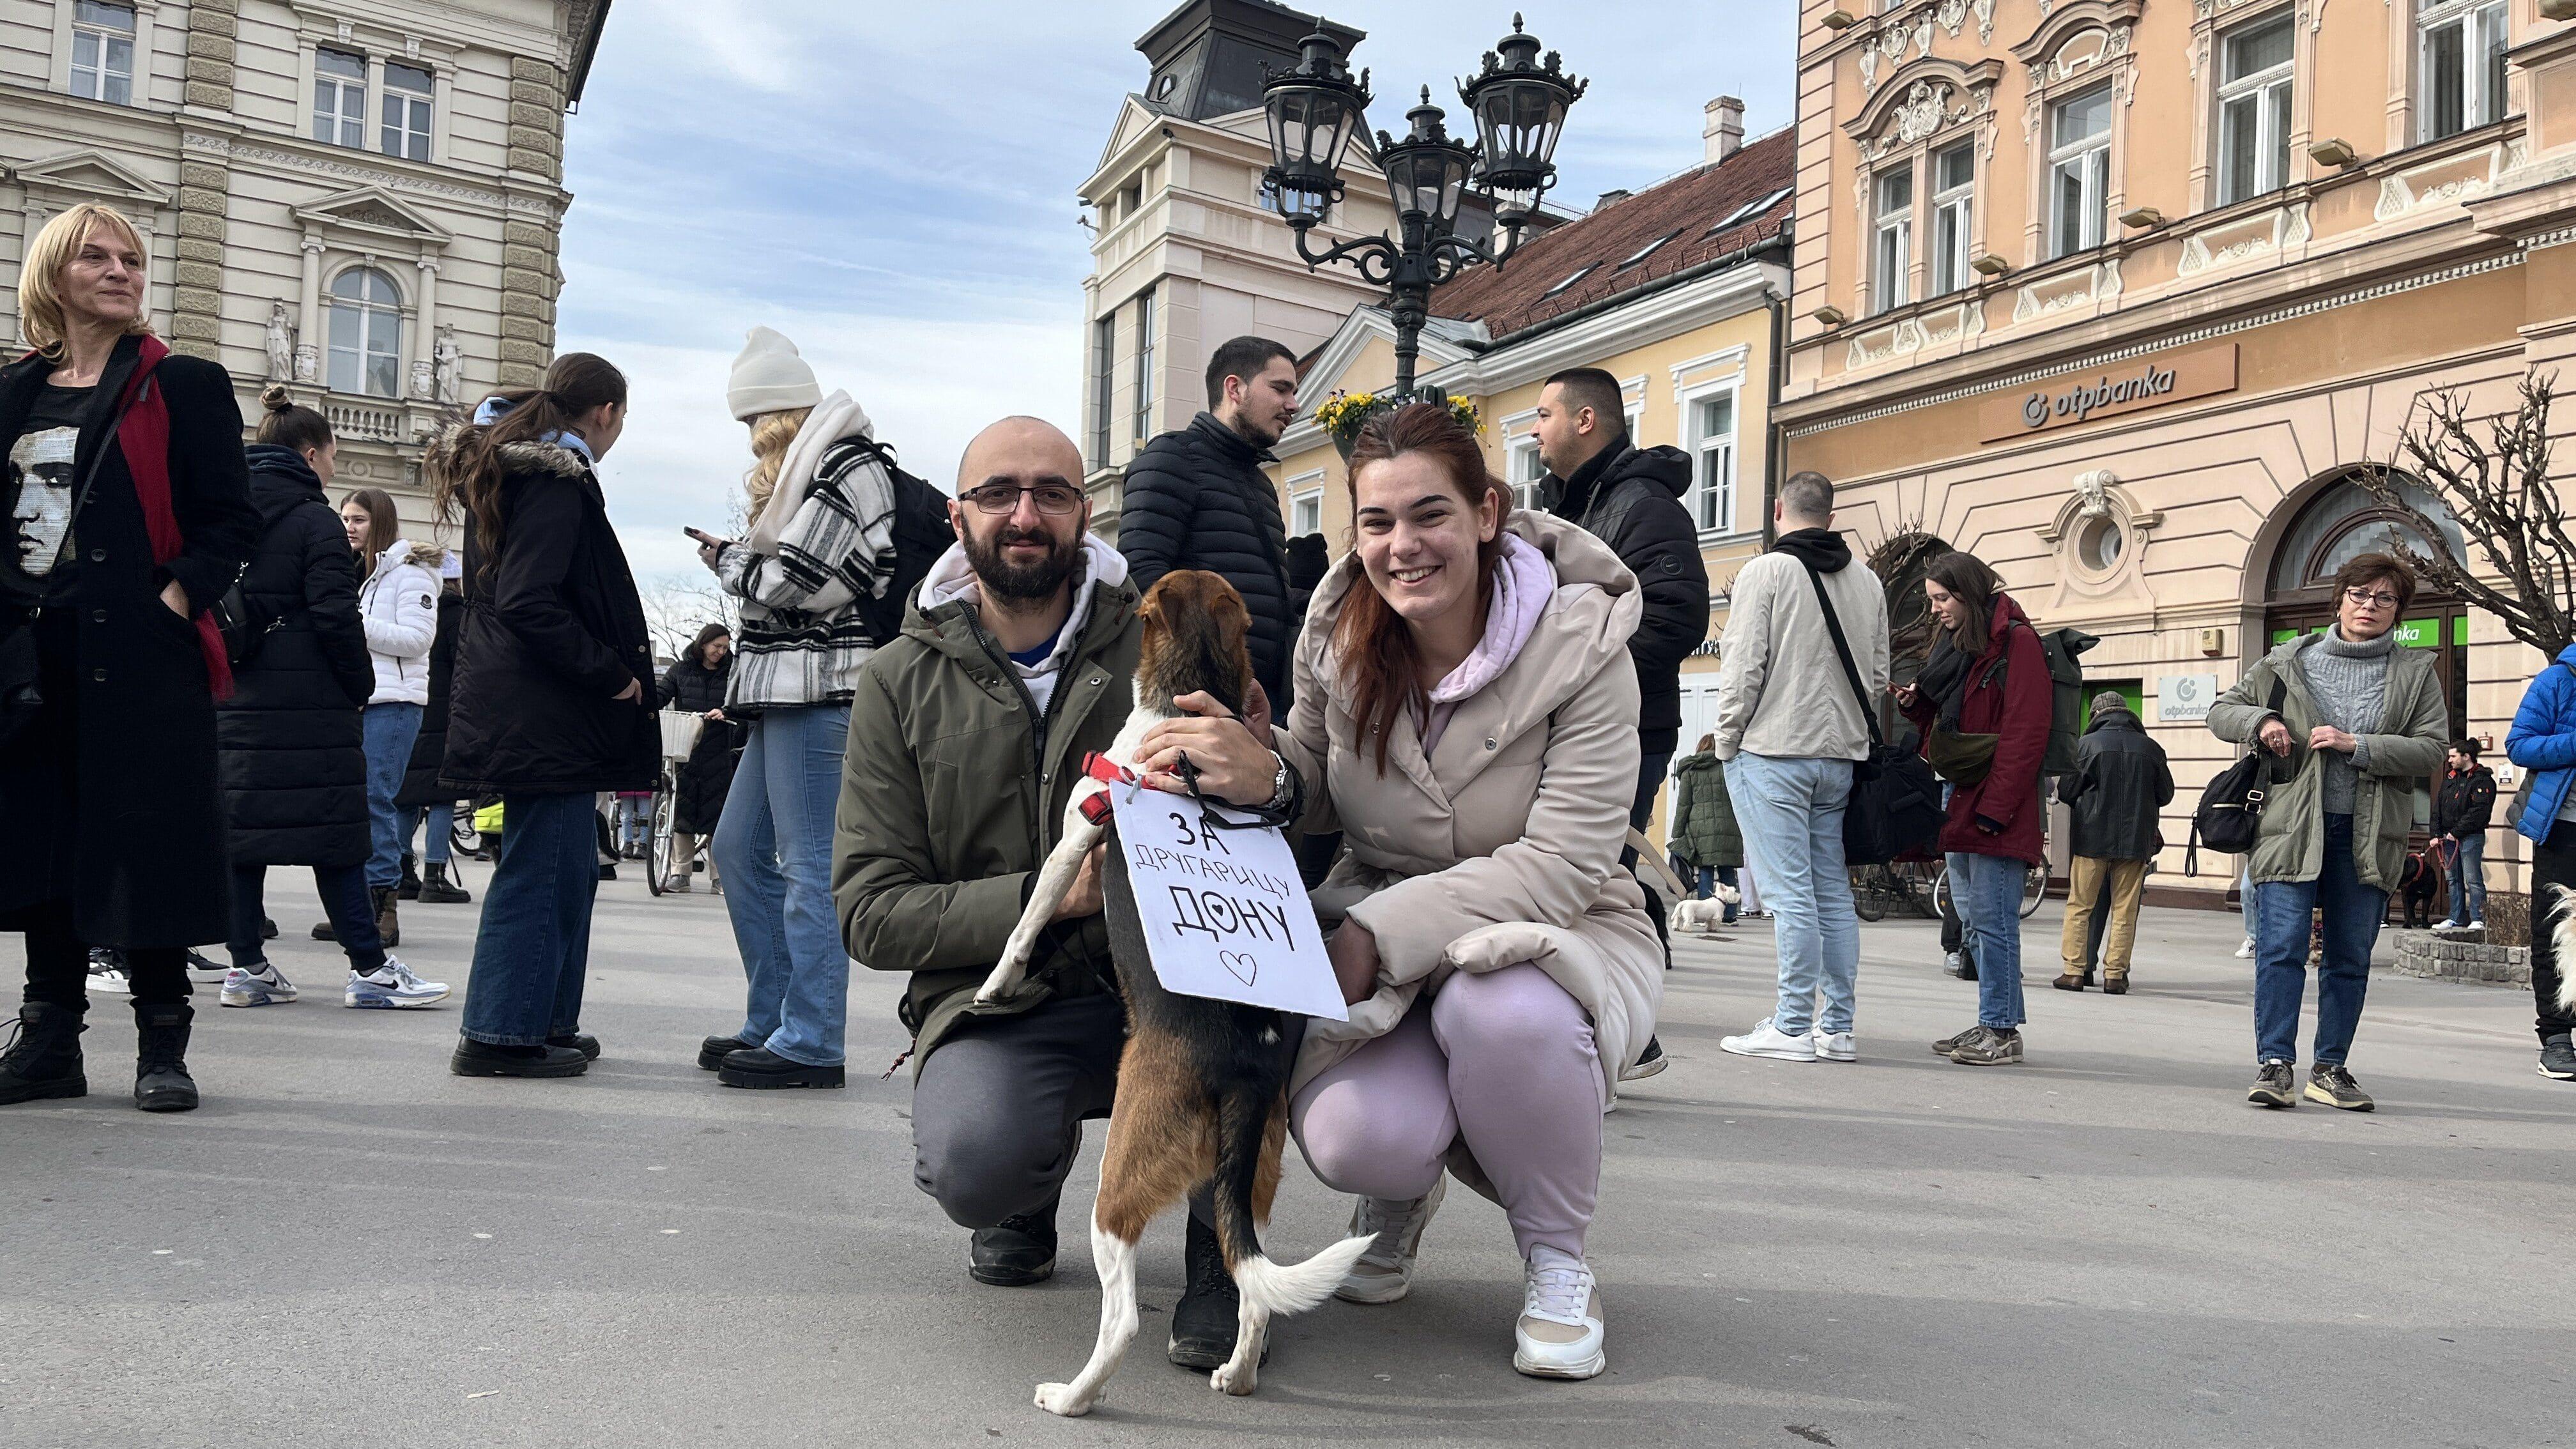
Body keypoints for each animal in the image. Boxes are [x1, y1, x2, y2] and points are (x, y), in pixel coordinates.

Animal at [969, 564, 1370, 1413]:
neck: (1192, 703)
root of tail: (1242, 1068)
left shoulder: (1075, 840)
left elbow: (1026, 924)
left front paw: (995, 984)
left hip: (1119, 1179)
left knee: (1120, 1319)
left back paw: (1072, 1397)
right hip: (1248, 1179)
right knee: (1255, 1296)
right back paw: (1236, 1375)